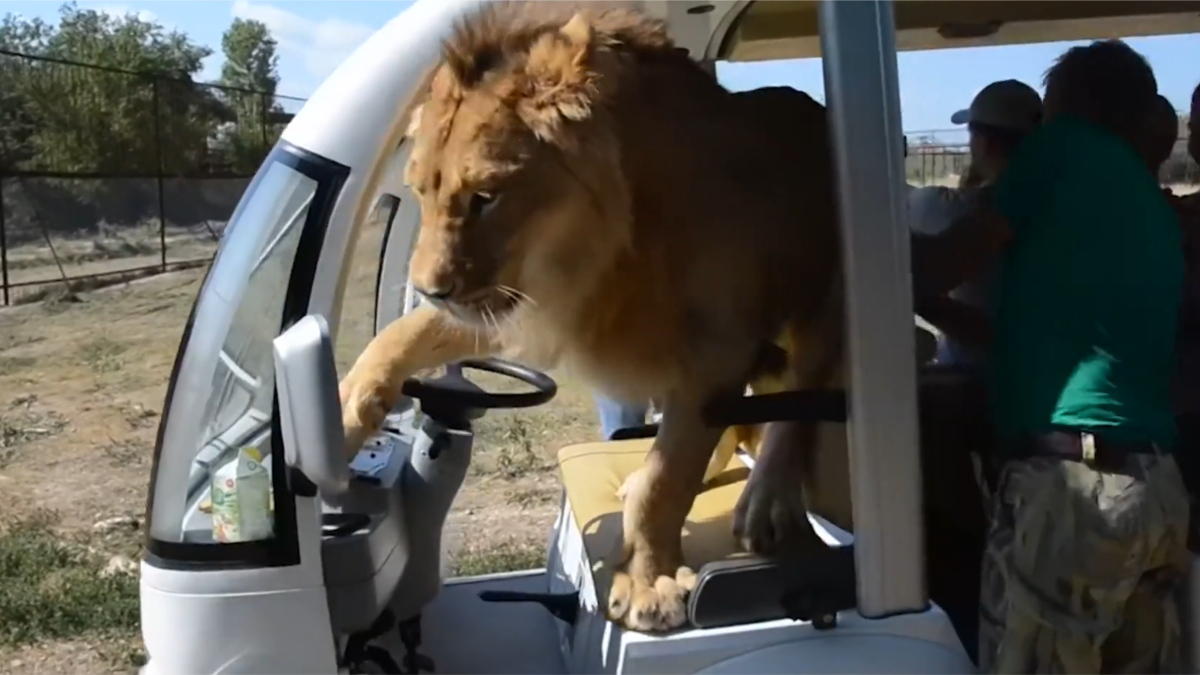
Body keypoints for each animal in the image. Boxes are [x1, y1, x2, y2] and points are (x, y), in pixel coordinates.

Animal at [338, 2, 849, 629]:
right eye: (419, 192)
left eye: (486, 196)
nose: (430, 289)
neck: (608, 249)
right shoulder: (525, 302)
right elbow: (398, 335)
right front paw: (339, 414)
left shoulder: (717, 346)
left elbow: (667, 481)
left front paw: (650, 584)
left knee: (799, 399)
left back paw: (765, 504)